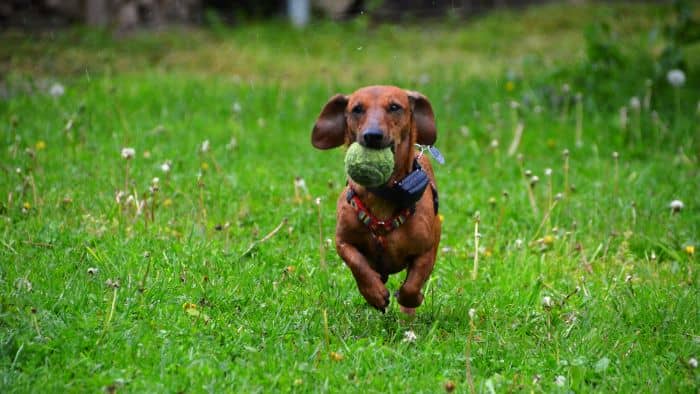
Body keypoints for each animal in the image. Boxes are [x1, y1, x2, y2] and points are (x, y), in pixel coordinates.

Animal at [310, 86, 440, 314]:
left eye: (395, 107)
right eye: (357, 109)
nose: (372, 135)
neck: (383, 195)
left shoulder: (426, 250)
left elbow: (412, 284)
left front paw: (412, 299)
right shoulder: (343, 241)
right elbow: (358, 264)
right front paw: (374, 294)